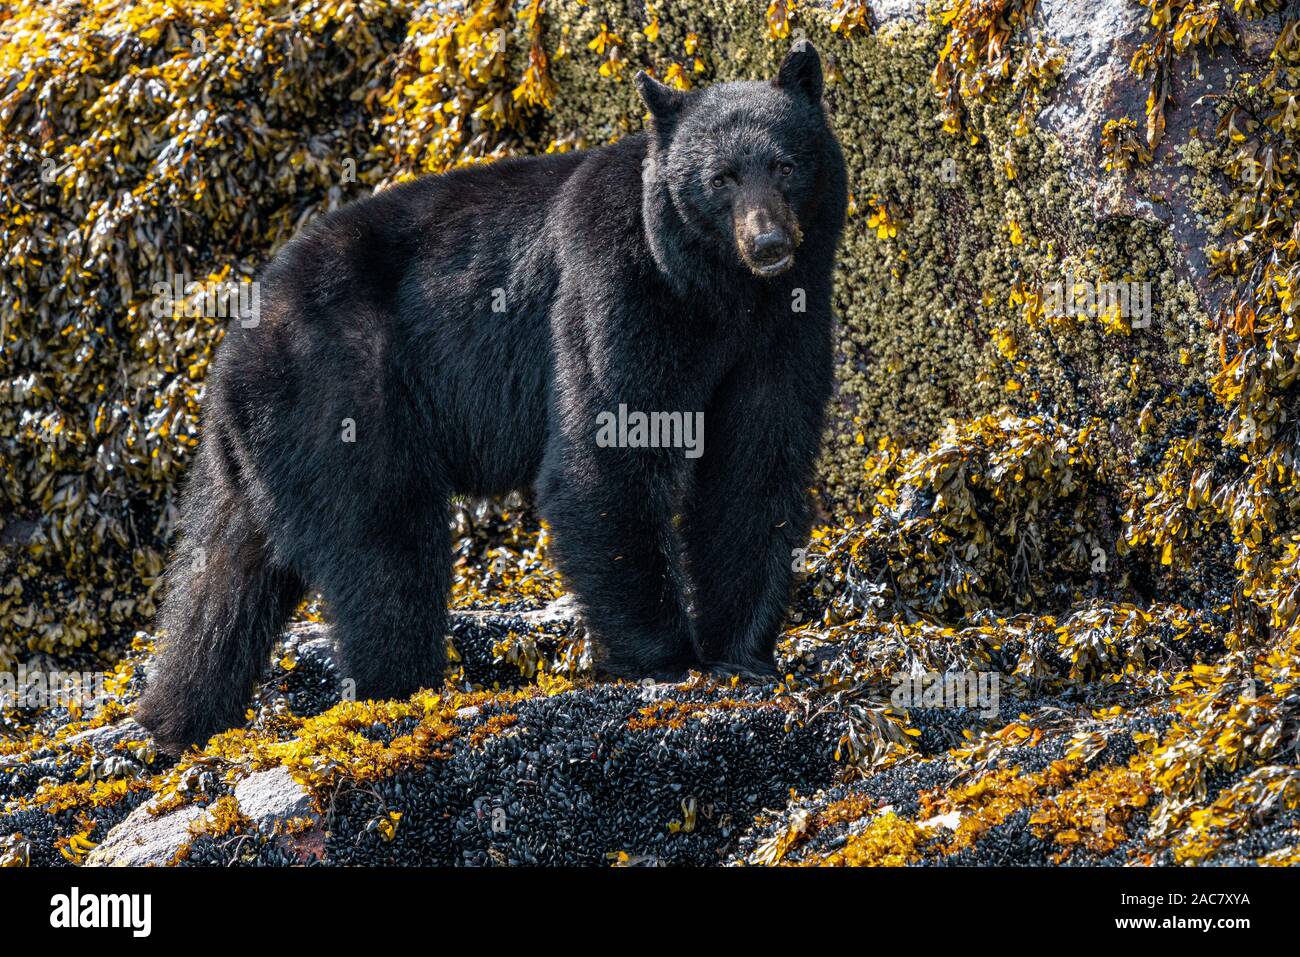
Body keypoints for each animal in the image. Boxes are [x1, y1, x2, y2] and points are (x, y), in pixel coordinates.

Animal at [137, 39, 847, 754]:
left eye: (785, 165)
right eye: (720, 178)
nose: (768, 242)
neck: (720, 296)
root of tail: (238, 336)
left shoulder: (786, 326)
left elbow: (754, 465)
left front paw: (743, 654)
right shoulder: (617, 288)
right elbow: (606, 450)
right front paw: (666, 660)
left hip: (266, 441)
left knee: (224, 571)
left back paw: (175, 718)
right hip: (341, 394)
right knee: (383, 548)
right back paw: (403, 692)